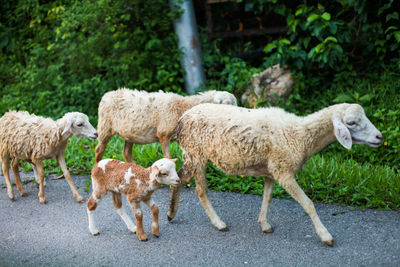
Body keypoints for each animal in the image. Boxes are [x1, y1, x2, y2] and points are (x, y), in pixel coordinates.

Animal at [95, 88, 236, 163]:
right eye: (224, 104)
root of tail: (108, 94)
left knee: (126, 153)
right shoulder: (163, 134)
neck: (183, 107)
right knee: (98, 149)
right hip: (105, 127)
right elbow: (168, 157)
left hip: (129, 133)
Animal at [167, 103, 382, 246]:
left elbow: (267, 197)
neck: (300, 134)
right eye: (351, 122)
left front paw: (264, 224)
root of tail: (182, 119)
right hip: (197, 154)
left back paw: (171, 213)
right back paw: (218, 223)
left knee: (178, 178)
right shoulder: (284, 171)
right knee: (200, 190)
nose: (379, 137)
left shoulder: (272, 170)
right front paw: (325, 235)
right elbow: (308, 204)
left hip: (192, 156)